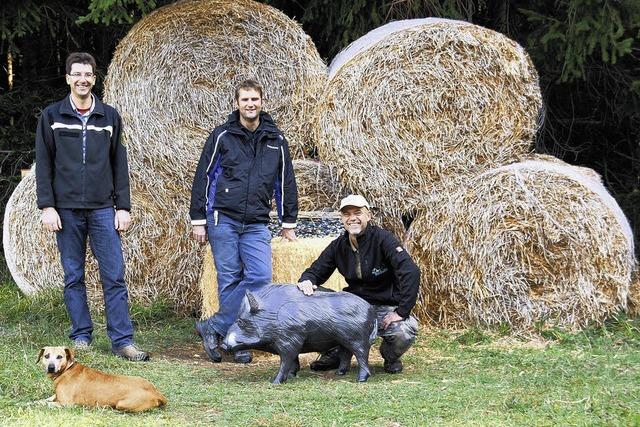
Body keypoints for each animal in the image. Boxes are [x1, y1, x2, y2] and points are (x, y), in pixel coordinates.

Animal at [36, 346, 168, 412]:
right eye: (46, 356)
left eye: (60, 357)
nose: (51, 367)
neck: (67, 369)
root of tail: (156, 393)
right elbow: (45, 399)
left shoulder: (66, 404)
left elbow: (46, 403)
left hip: (122, 404)